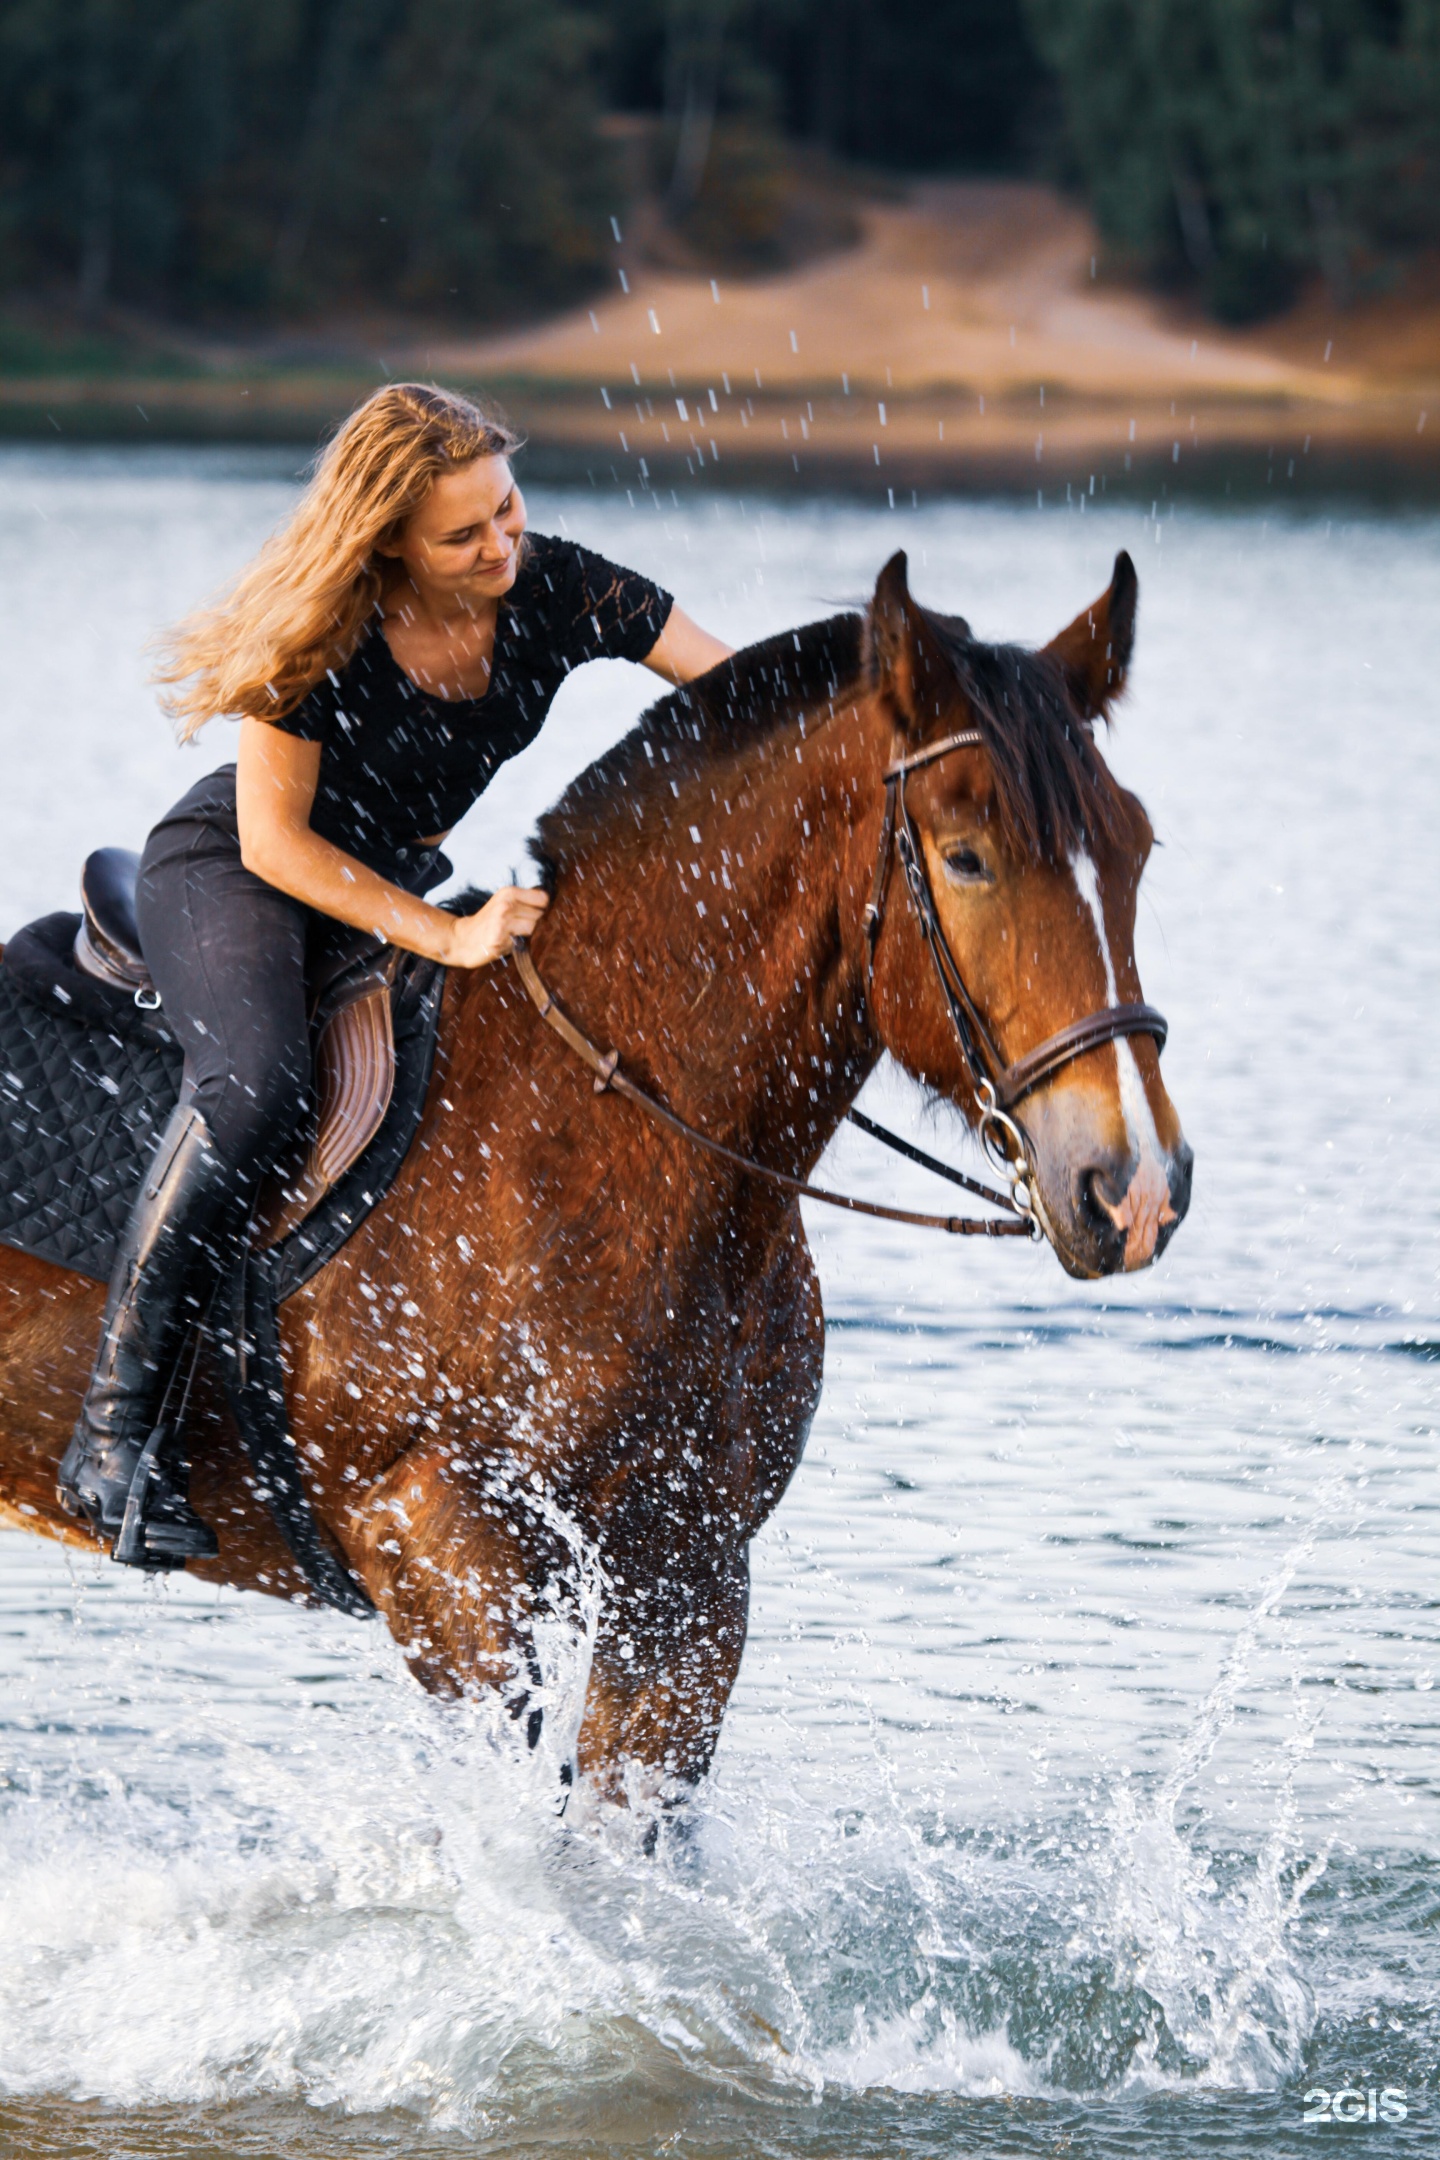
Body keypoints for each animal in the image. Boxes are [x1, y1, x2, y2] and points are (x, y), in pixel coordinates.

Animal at [0, 552, 1191, 1805]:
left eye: (1137, 848)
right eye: (967, 858)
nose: (1135, 1186)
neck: (603, 1137)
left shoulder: (688, 1573)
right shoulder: (446, 1552)